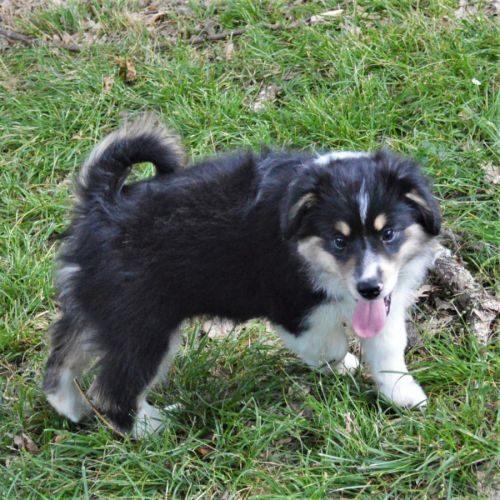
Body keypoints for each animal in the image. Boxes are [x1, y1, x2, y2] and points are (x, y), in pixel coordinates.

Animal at [43, 115, 441, 437]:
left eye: (388, 234)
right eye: (339, 241)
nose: (369, 287)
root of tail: (101, 203)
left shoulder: (386, 299)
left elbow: (388, 347)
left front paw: (404, 395)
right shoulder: (294, 308)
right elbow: (329, 345)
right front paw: (340, 367)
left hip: (102, 311)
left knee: (62, 358)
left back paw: (73, 409)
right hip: (144, 326)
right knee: (114, 389)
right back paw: (156, 427)